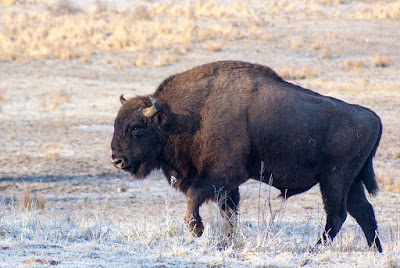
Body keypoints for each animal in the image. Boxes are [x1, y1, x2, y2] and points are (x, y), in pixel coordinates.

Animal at [111, 60, 382, 251]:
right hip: (351, 182)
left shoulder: (223, 174)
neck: (180, 117)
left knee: (337, 214)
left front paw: (197, 230)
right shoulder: (227, 185)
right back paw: (375, 250)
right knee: (363, 212)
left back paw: (314, 249)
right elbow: (229, 213)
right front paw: (226, 242)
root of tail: (371, 116)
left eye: (136, 127)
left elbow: (194, 197)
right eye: (116, 123)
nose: (117, 159)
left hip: (334, 179)